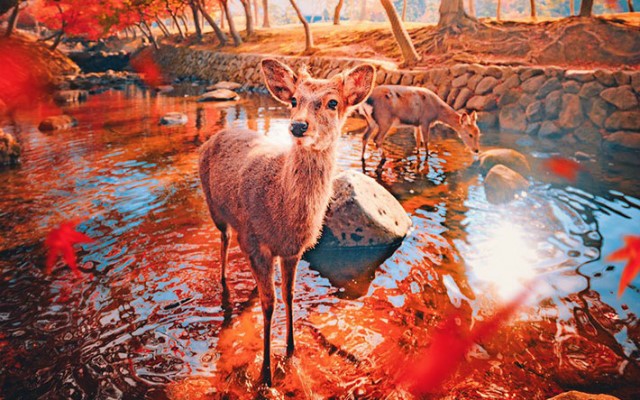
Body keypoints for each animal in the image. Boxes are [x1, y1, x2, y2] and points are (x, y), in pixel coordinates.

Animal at [198, 59, 375, 387]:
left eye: (333, 102)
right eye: (293, 100)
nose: (298, 126)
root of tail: (214, 137)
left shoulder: (292, 251)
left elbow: (289, 295)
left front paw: (291, 348)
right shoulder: (256, 242)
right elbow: (270, 305)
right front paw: (266, 372)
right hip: (215, 208)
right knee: (224, 241)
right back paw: (224, 279)